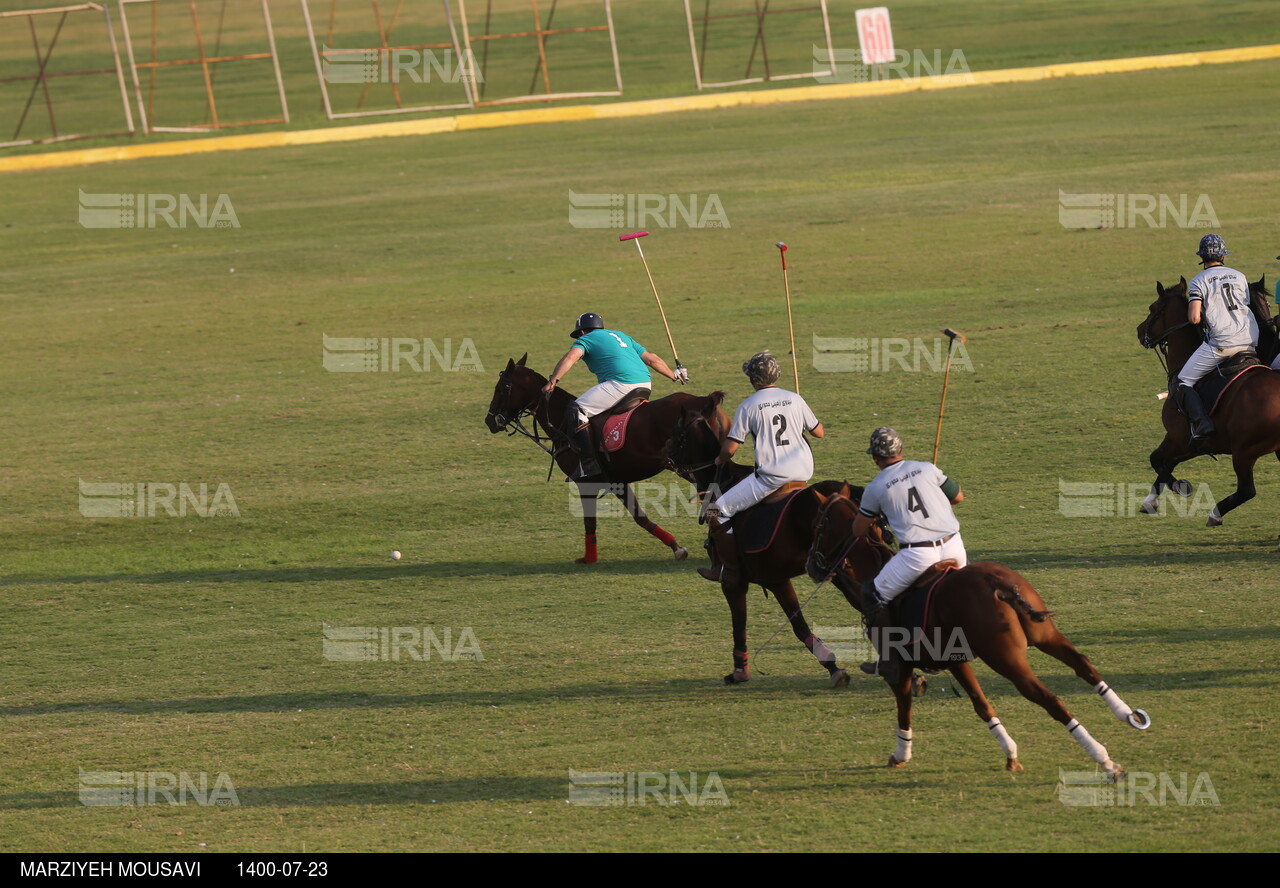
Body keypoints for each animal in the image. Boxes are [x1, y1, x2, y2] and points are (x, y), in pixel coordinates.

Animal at [483, 355, 701, 562]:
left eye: (500, 389)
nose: (489, 421)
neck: (562, 425)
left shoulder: (584, 482)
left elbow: (589, 521)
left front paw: (589, 558)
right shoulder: (617, 481)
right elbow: (640, 517)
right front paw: (676, 547)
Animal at [665, 394, 855, 690]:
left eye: (676, 433)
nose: (665, 454)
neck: (724, 481)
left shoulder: (735, 581)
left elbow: (740, 625)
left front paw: (739, 671)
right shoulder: (777, 578)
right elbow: (800, 626)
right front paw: (833, 667)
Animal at [808, 493, 1152, 777]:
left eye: (819, 525)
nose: (811, 565)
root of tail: (999, 585)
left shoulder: (901, 668)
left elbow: (904, 707)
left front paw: (900, 753)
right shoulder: (956, 660)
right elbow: (981, 704)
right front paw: (1011, 754)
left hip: (1003, 657)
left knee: (1048, 698)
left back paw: (1105, 760)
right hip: (1045, 636)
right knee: (1083, 664)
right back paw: (1128, 715)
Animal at [1136, 278, 1274, 524]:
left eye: (1152, 308)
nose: (1139, 331)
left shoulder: (1180, 438)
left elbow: (1157, 460)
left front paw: (1181, 486)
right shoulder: (1191, 444)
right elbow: (1162, 462)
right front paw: (1150, 501)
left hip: (1244, 451)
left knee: (1247, 490)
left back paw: (1215, 514)